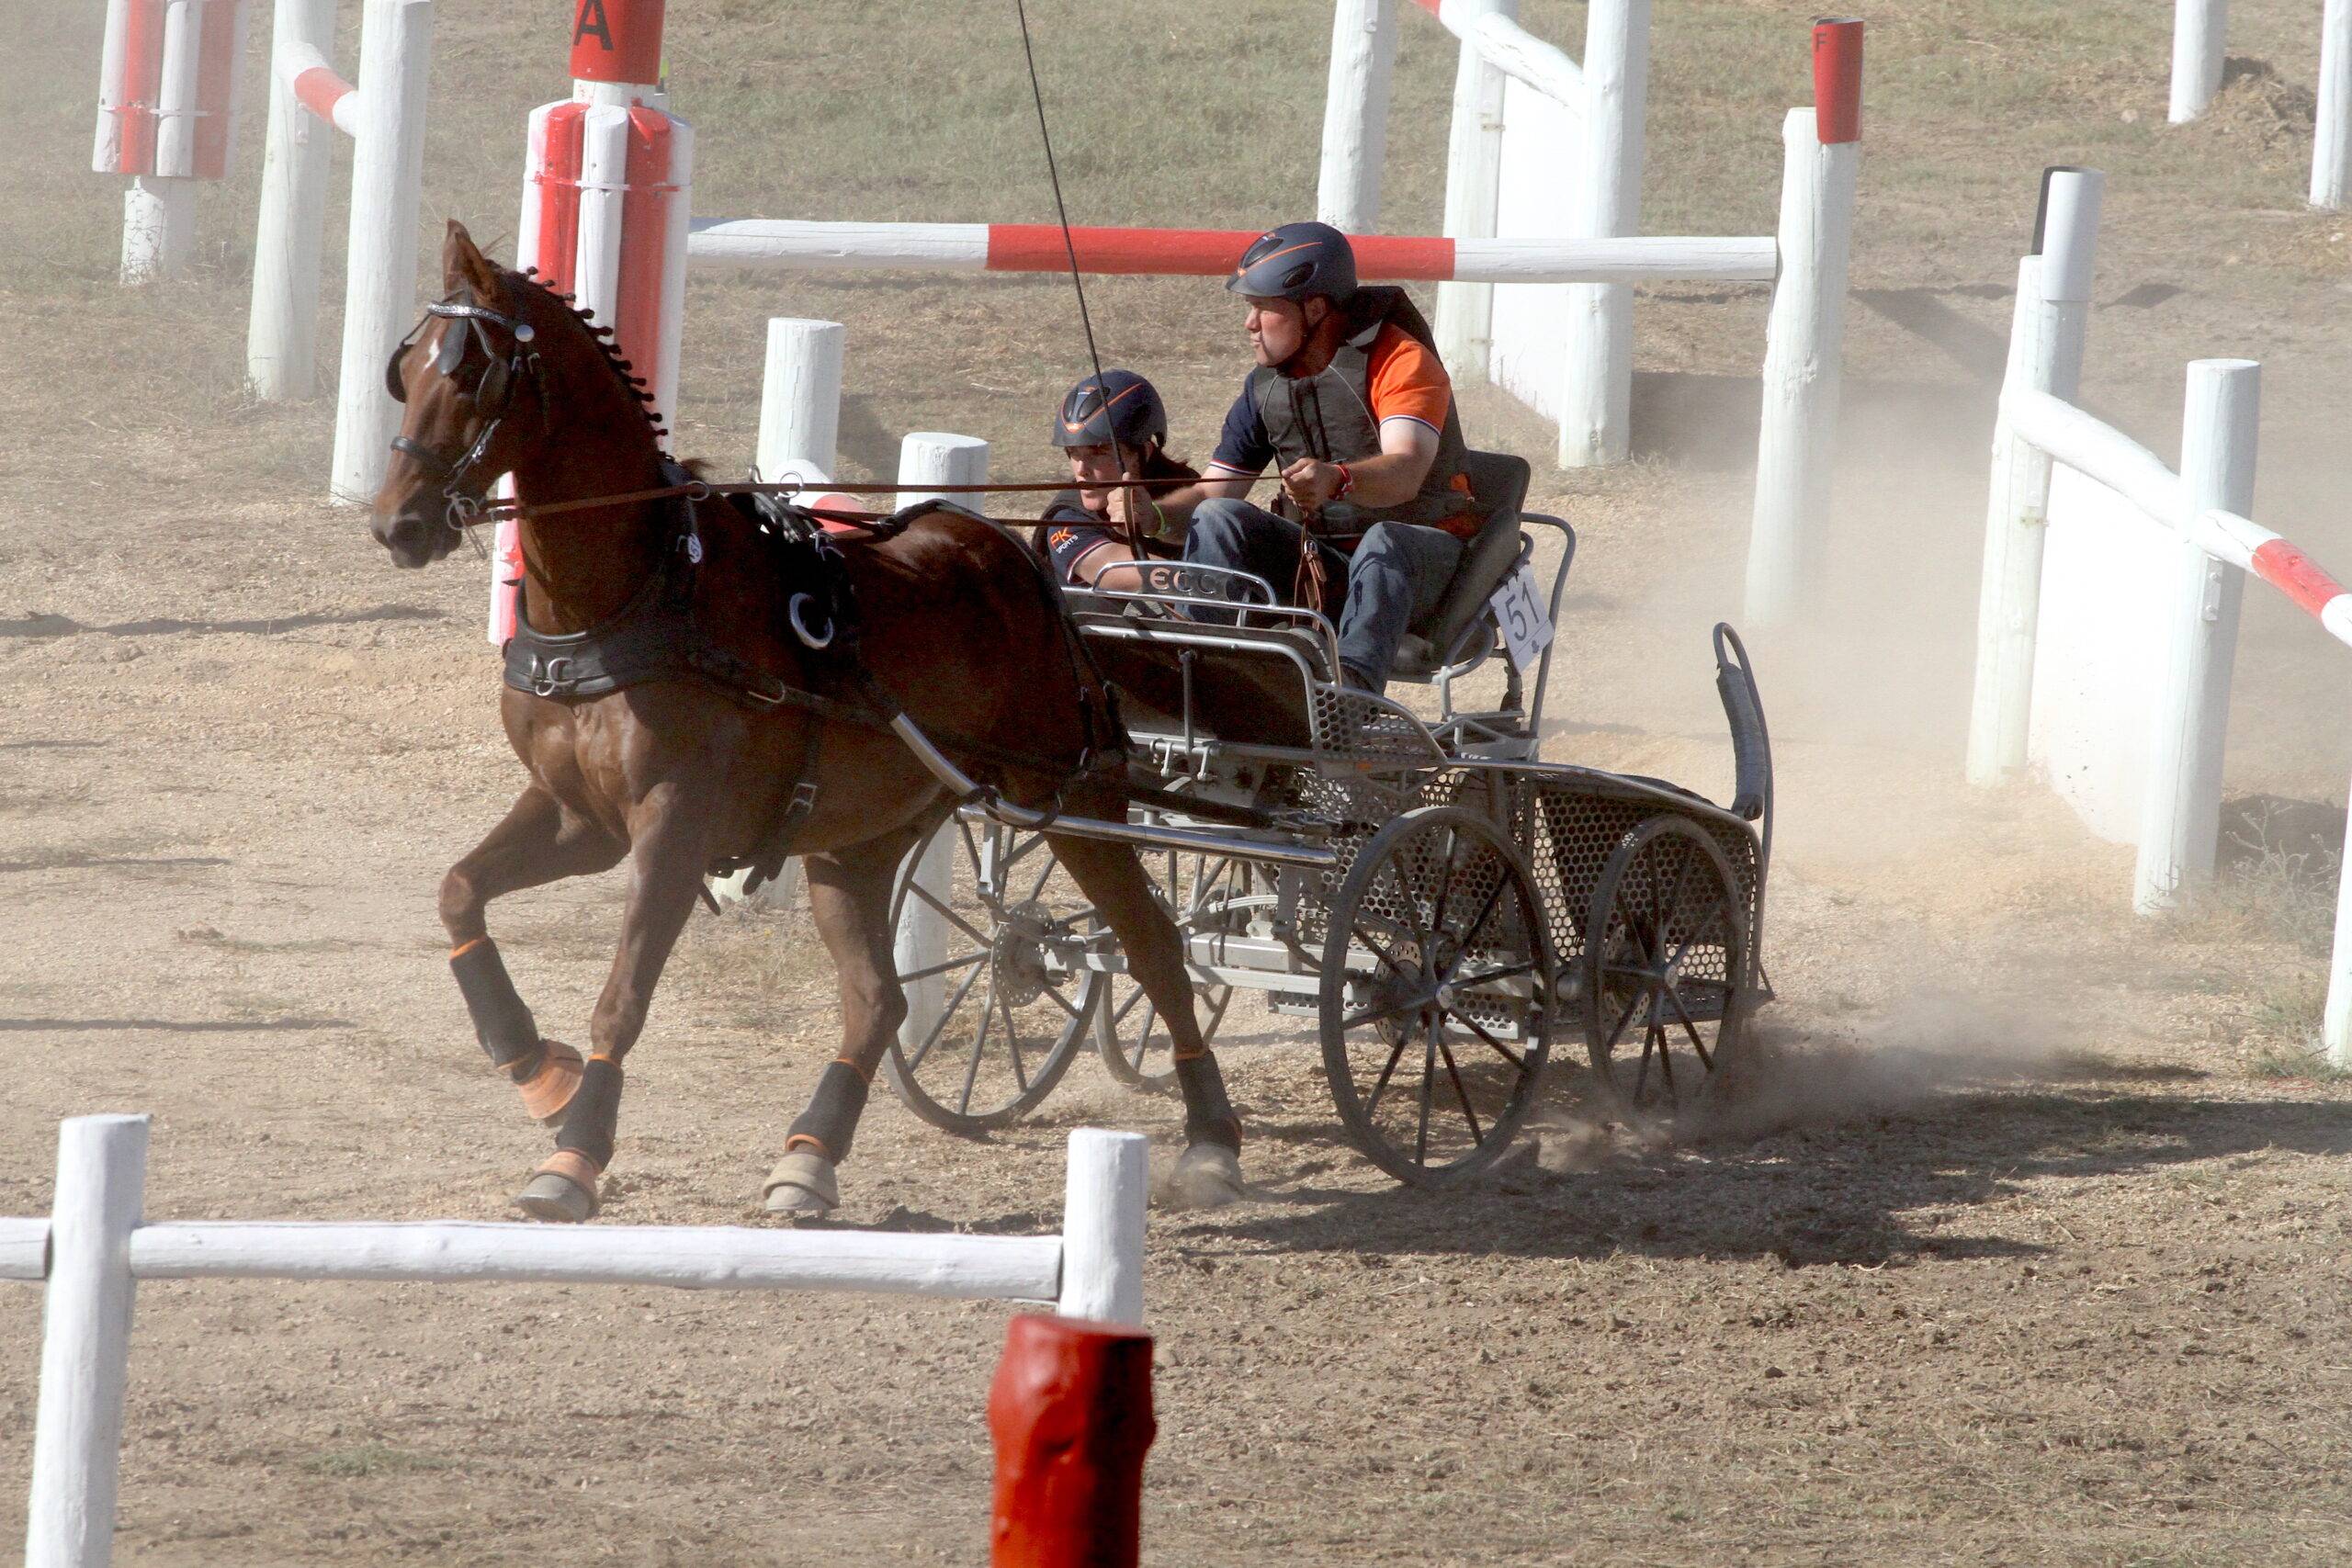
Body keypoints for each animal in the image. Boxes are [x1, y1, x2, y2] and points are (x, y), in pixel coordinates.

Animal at [368, 221, 1244, 1222]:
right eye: (407, 369)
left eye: (472, 374)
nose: (397, 524)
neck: (635, 593)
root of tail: (1021, 561)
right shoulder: (578, 815)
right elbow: (458, 892)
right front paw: (543, 1075)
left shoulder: (673, 824)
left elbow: (622, 994)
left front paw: (576, 1153)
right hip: (858, 837)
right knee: (877, 1000)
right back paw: (809, 1155)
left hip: (1070, 797)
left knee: (1155, 948)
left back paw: (1212, 1139)